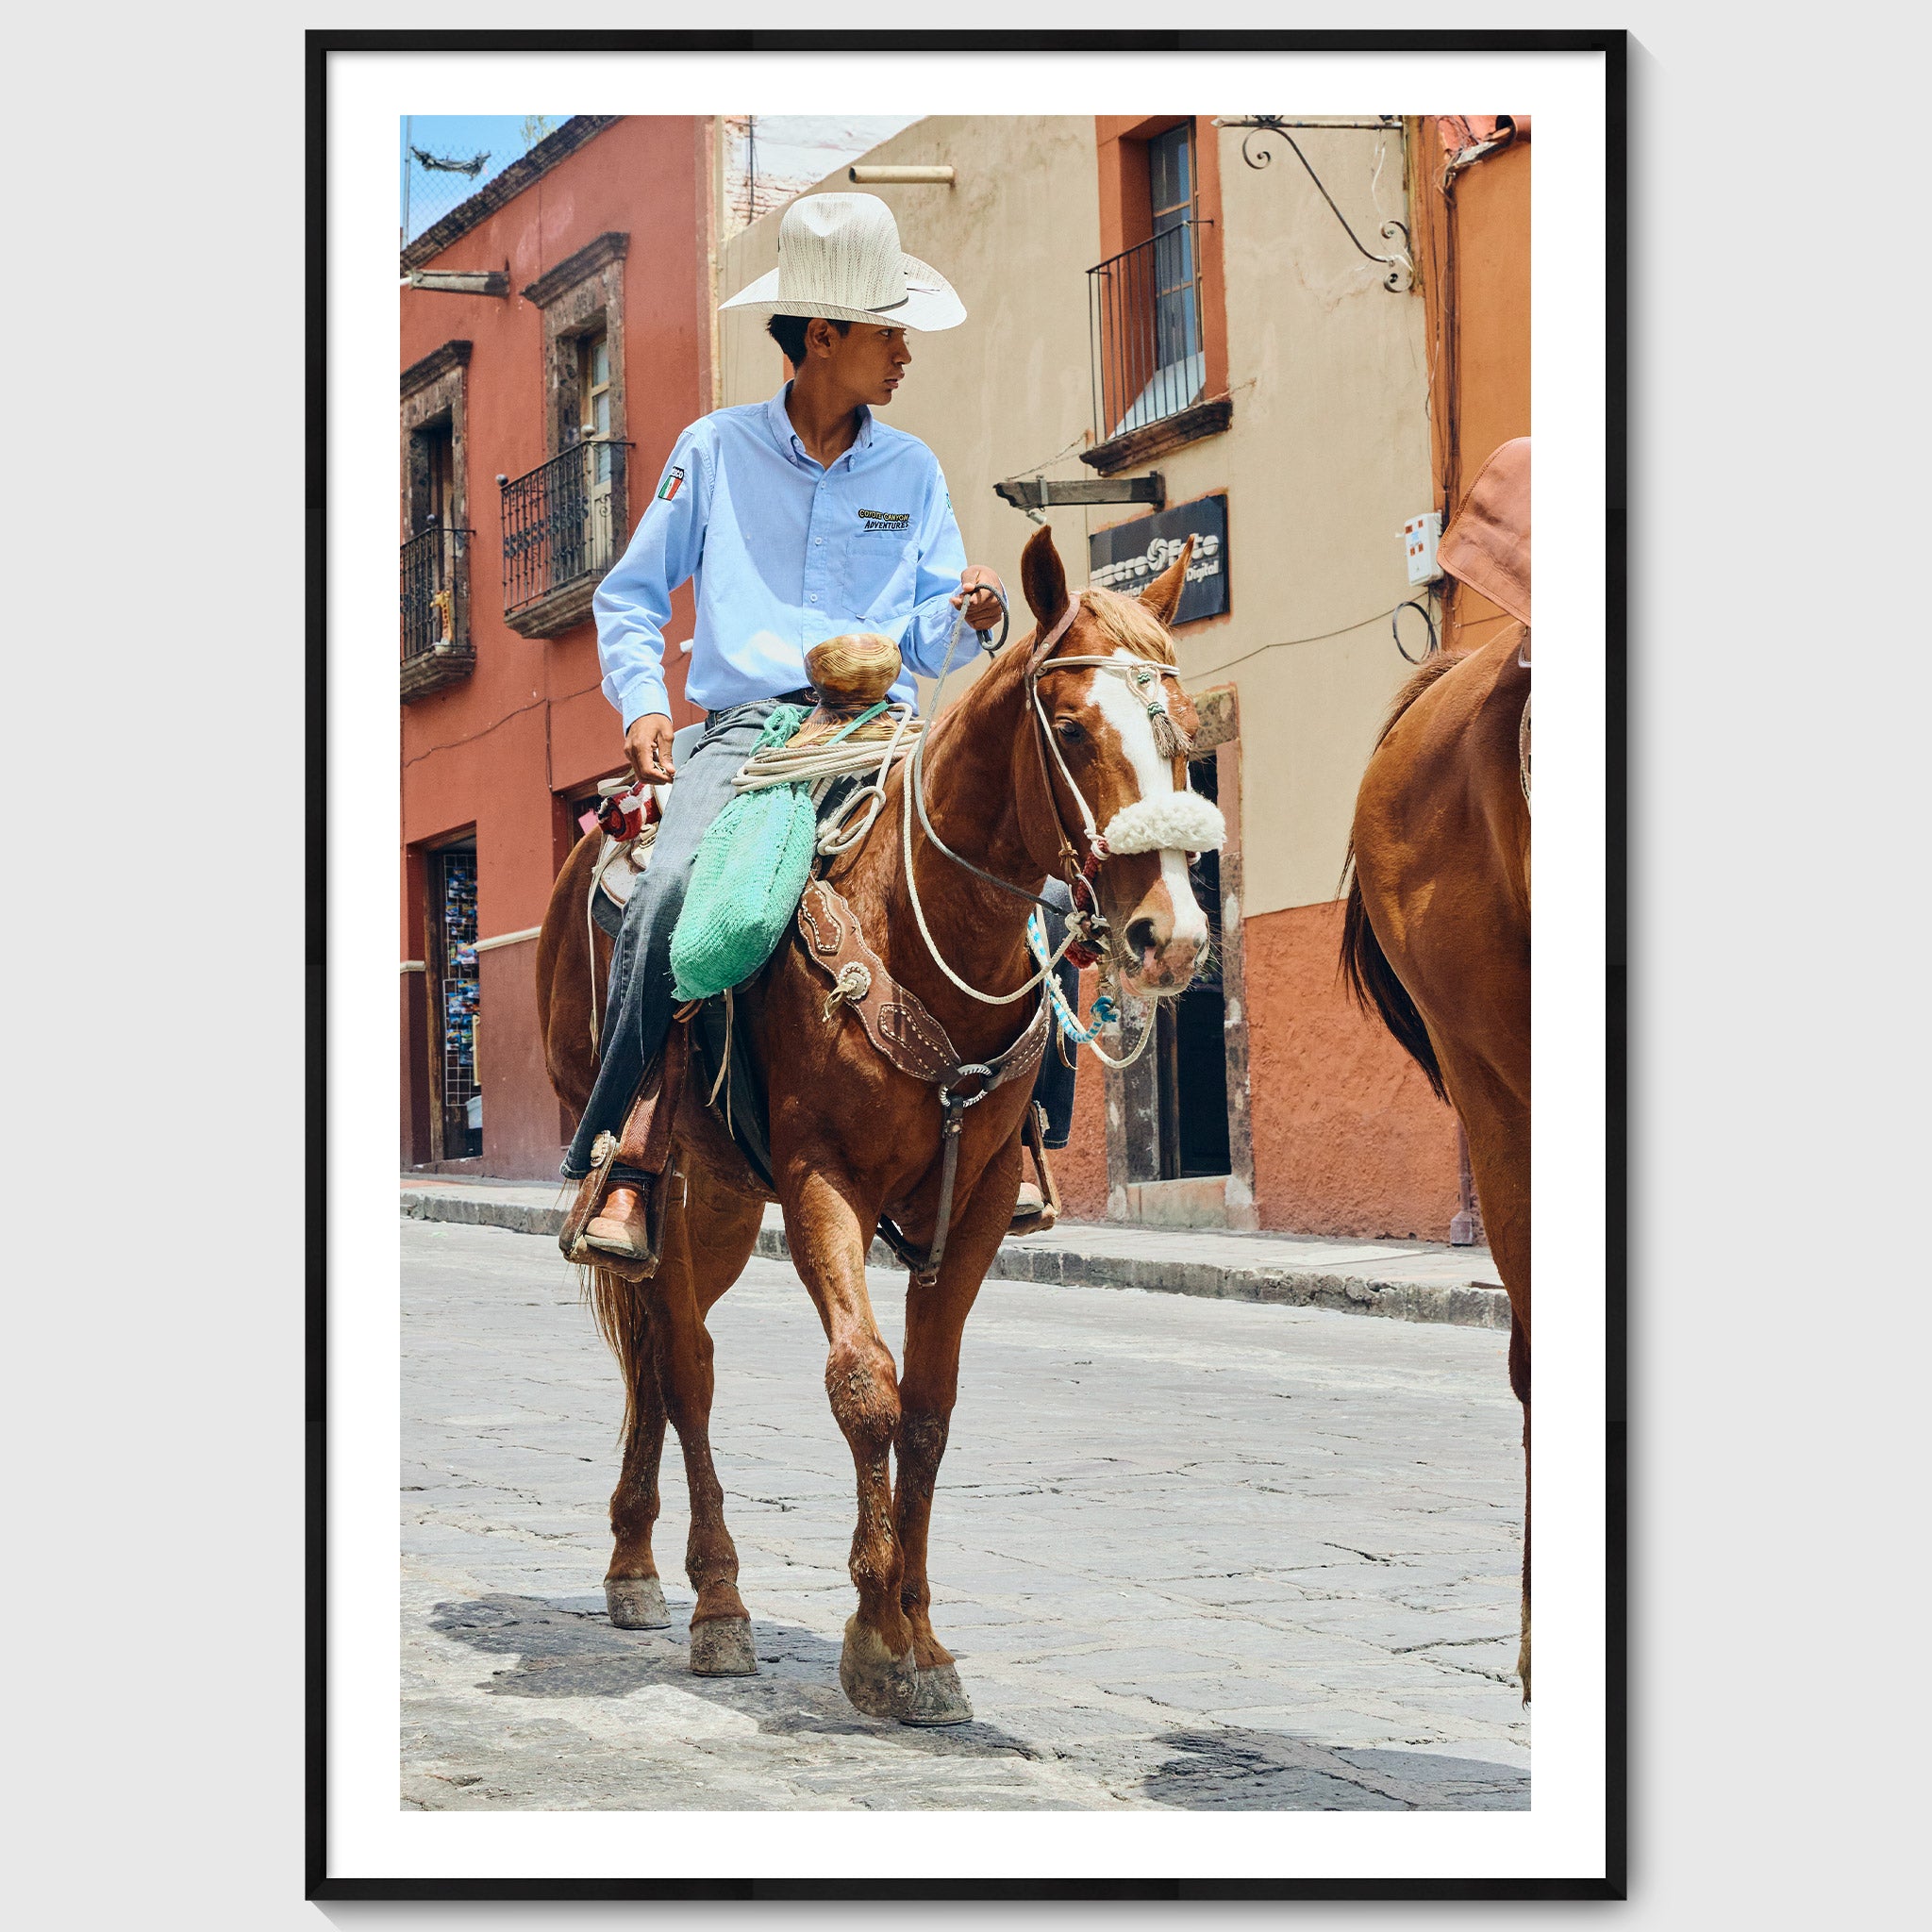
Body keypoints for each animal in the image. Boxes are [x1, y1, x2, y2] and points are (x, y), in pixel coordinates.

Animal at [533, 525, 1211, 1722]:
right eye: (1071, 728)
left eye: (1181, 731)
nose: (1165, 934)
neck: (916, 927)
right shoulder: (822, 1183)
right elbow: (864, 1388)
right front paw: (869, 1635)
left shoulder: (973, 1204)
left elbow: (930, 1407)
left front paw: (919, 1636)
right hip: (671, 1178)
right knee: (686, 1363)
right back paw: (713, 1600)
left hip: (721, 1201)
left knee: (659, 1360)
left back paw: (633, 1561)